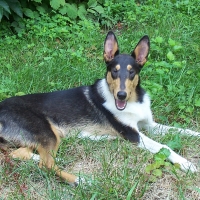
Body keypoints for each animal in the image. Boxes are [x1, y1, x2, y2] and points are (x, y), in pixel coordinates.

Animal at [0, 31, 198, 186]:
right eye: (114, 71)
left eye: (131, 71)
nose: (121, 95)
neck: (133, 100)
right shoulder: (133, 134)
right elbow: (164, 146)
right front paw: (187, 164)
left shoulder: (149, 125)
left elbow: (181, 130)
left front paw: (196, 134)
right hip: (47, 133)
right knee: (45, 165)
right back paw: (81, 180)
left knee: (23, 154)